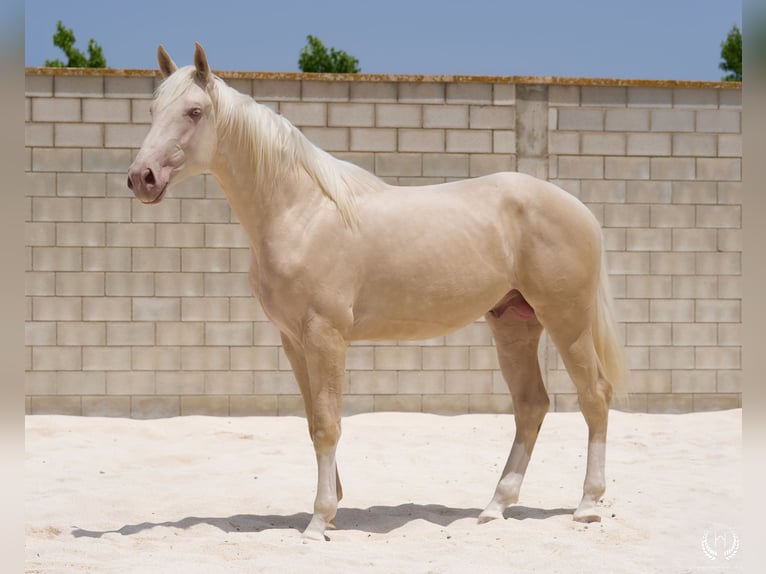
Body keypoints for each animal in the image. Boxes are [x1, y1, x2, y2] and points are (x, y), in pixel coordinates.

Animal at [128, 43, 629, 541]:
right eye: (152, 110)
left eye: (194, 111)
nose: (141, 178)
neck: (303, 212)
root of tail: (577, 207)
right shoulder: (293, 340)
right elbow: (313, 421)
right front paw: (332, 505)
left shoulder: (326, 336)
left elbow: (328, 425)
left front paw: (319, 520)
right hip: (514, 325)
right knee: (531, 405)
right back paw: (495, 507)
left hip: (566, 320)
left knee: (594, 396)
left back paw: (587, 505)